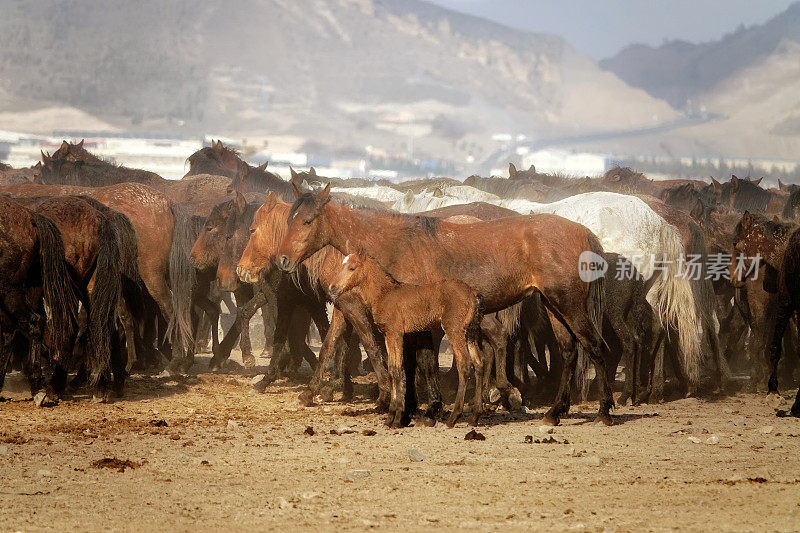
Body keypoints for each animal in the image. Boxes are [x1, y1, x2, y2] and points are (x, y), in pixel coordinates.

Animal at [330, 247, 484, 426]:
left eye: (352, 268)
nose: (332, 288)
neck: (384, 294)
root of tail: (473, 293)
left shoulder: (394, 333)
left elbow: (397, 370)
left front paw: (396, 418)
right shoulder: (389, 336)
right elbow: (392, 369)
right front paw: (391, 416)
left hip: (455, 330)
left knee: (464, 364)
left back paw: (454, 416)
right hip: (470, 333)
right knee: (479, 363)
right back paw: (475, 416)